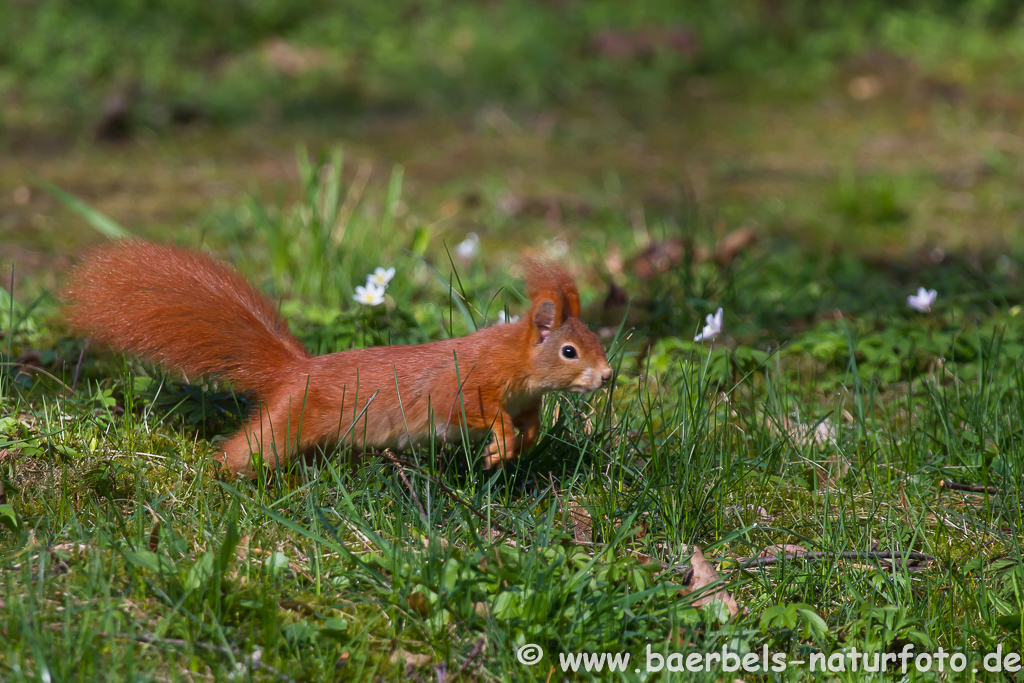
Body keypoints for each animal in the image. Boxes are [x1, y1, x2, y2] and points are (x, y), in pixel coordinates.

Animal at [64, 242, 610, 479]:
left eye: (597, 342)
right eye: (569, 351)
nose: (607, 376)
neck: (516, 363)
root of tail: (296, 370)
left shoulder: (527, 401)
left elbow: (529, 425)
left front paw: (518, 445)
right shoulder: (469, 386)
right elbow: (476, 412)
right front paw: (501, 444)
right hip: (287, 422)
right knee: (247, 449)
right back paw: (219, 476)